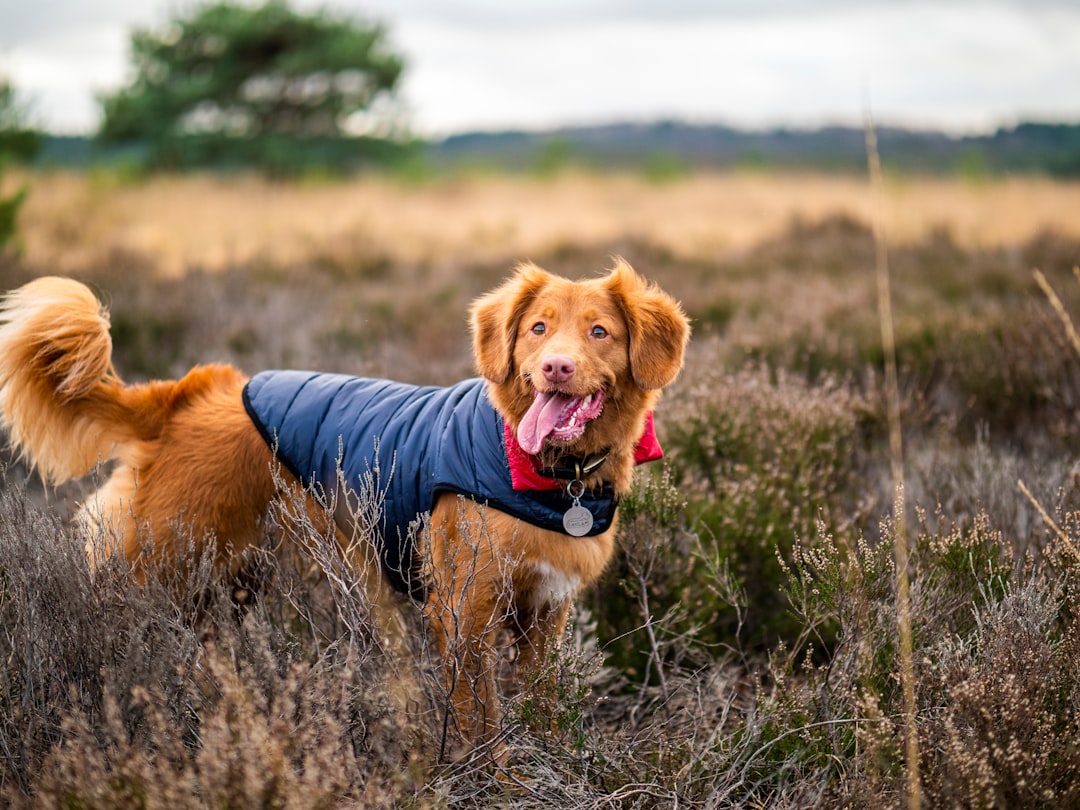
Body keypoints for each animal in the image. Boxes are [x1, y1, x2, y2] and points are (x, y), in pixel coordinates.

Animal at [0, 263, 686, 751]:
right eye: (538, 328)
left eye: (600, 331)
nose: (555, 368)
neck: (543, 472)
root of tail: (187, 396)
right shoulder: (464, 614)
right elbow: (483, 722)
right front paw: (499, 781)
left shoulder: (547, 614)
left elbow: (542, 706)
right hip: (161, 568)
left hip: (231, 582)